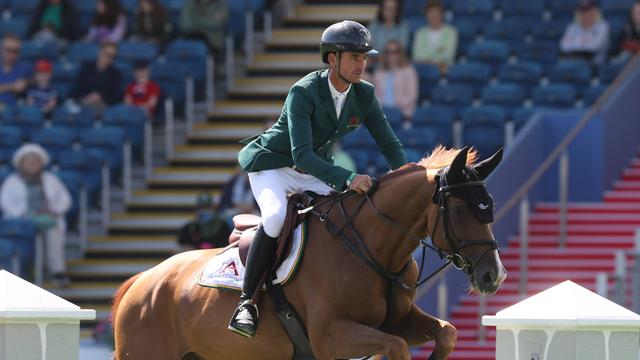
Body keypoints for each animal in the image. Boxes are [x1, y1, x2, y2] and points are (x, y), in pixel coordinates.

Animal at [112, 145, 508, 358]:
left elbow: (447, 332)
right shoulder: (330, 336)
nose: (494, 275)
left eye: (489, 204)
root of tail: (139, 282)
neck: (373, 247)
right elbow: (396, 347)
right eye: (459, 210)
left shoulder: (398, 320)